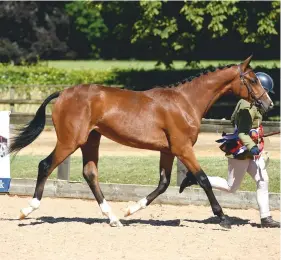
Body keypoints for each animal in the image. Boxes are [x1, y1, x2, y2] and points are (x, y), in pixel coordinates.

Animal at [8, 56, 272, 228]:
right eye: (252, 80)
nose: (268, 104)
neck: (185, 102)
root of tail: (63, 93)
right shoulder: (183, 148)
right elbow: (203, 179)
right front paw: (223, 217)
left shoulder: (169, 150)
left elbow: (164, 183)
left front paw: (130, 209)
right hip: (70, 140)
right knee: (45, 165)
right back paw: (26, 210)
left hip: (91, 140)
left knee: (90, 174)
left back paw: (114, 218)